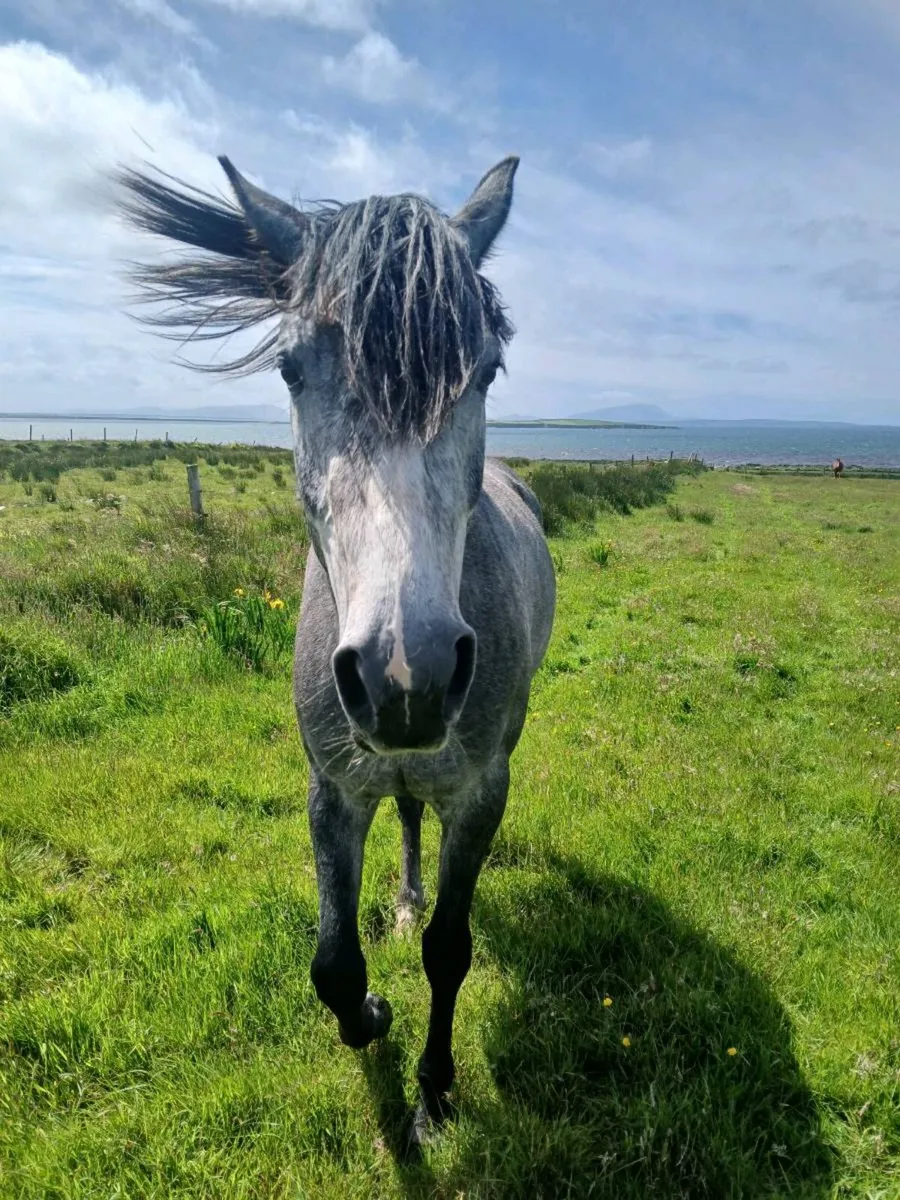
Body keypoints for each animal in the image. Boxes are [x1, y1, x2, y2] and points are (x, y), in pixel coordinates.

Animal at [116, 154, 556, 1138]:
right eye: (290, 367)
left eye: (488, 369)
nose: (406, 675)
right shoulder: (333, 790)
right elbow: (331, 964)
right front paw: (374, 1017)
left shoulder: (483, 792)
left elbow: (451, 951)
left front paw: (433, 1088)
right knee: (406, 822)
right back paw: (401, 900)